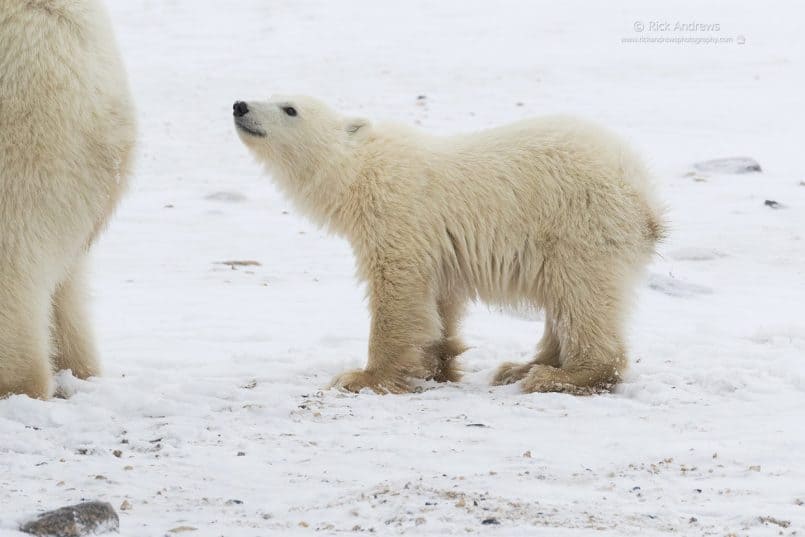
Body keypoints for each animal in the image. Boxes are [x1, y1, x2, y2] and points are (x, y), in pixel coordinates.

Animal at [232, 96, 660, 392]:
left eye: (289, 108)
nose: (239, 105)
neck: (363, 172)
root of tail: (643, 190)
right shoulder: (438, 243)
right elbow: (439, 299)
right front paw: (435, 365)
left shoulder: (399, 216)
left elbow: (398, 292)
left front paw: (361, 376)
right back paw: (519, 367)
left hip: (578, 223)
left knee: (580, 294)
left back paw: (560, 376)